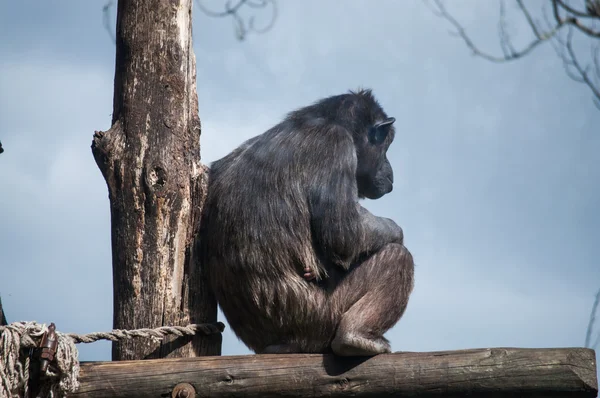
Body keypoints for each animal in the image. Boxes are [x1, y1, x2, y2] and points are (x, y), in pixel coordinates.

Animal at [199, 88, 414, 356]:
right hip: (318, 320)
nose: (389, 169)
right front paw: (397, 230)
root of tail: (274, 347)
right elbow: (345, 232)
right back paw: (358, 338)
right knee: (396, 258)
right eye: (386, 146)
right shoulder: (336, 143)